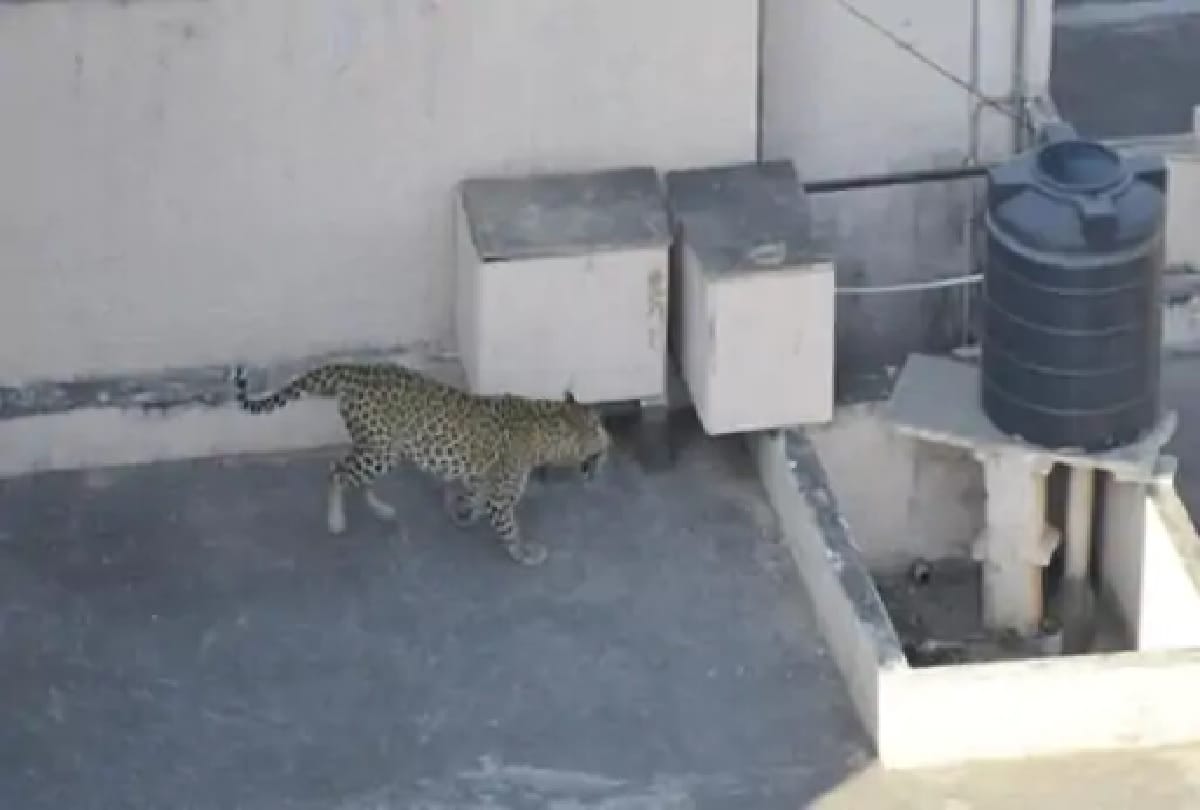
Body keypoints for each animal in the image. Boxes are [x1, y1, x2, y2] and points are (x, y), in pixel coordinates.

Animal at [231, 361, 611, 565]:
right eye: (600, 429)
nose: (610, 444)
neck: (546, 426)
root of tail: (353, 369)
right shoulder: (501, 494)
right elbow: (508, 526)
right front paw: (524, 552)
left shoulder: (481, 480)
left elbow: (471, 497)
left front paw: (461, 515)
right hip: (380, 450)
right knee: (336, 472)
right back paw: (336, 521)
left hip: (380, 448)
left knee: (351, 474)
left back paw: (381, 509)